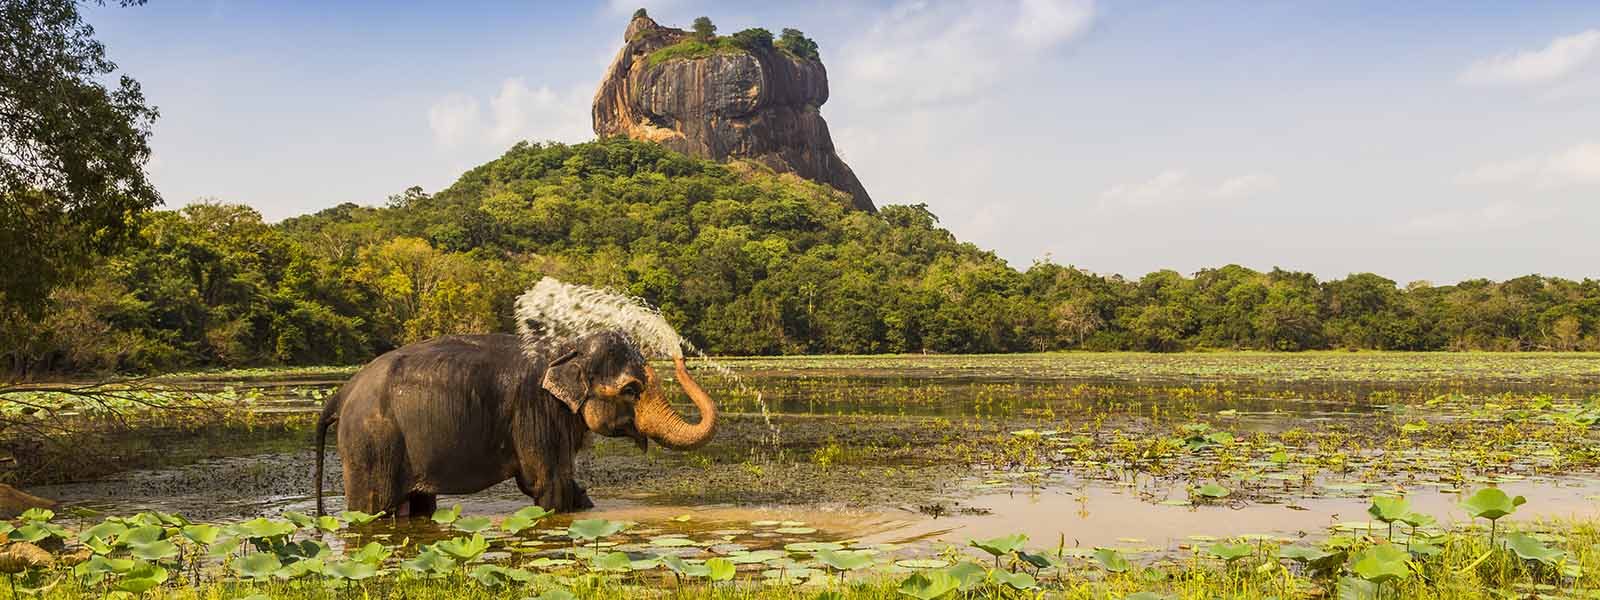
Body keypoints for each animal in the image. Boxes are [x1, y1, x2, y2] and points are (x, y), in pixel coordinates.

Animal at [312, 329, 713, 518]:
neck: (565, 348)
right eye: (631, 389)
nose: (679, 352)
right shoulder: (535, 411)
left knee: (418, 508)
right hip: (371, 444)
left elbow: (565, 484)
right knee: (371, 507)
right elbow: (546, 483)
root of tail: (342, 393)